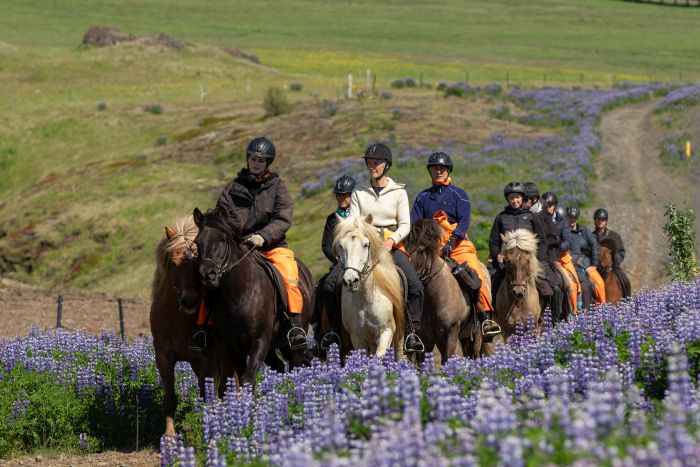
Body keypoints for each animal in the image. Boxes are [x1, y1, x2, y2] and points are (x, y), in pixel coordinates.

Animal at [150, 216, 219, 438]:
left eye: (198, 264)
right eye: (173, 263)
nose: (189, 301)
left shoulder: (206, 359)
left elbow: (206, 394)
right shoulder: (163, 357)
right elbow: (170, 398)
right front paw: (170, 436)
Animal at [334, 215, 404, 358]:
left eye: (366, 245)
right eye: (341, 245)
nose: (351, 281)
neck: (366, 299)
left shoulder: (386, 331)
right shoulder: (357, 338)